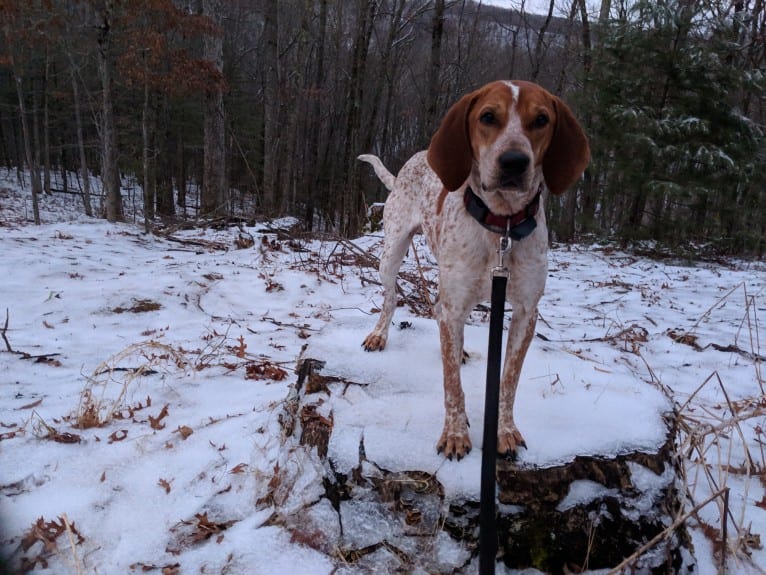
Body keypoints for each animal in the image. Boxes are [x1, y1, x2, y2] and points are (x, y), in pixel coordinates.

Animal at [362, 81, 592, 462]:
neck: (502, 225)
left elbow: (507, 381)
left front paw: (504, 431)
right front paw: (455, 434)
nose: (514, 161)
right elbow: (452, 384)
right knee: (392, 299)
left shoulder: (526, 312)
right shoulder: (456, 304)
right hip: (391, 254)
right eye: (488, 117)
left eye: (541, 119)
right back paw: (379, 334)